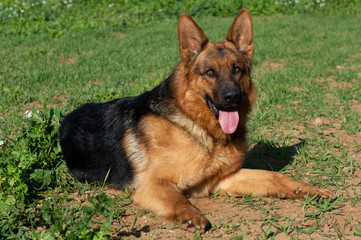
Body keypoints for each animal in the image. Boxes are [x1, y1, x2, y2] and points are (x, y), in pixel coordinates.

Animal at [59, 9, 332, 232]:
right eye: (210, 72)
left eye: (237, 69)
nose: (232, 97)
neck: (200, 128)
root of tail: (64, 119)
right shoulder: (151, 186)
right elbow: (179, 198)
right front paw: (191, 215)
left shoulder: (224, 179)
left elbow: (273, 176)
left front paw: (308, 189)